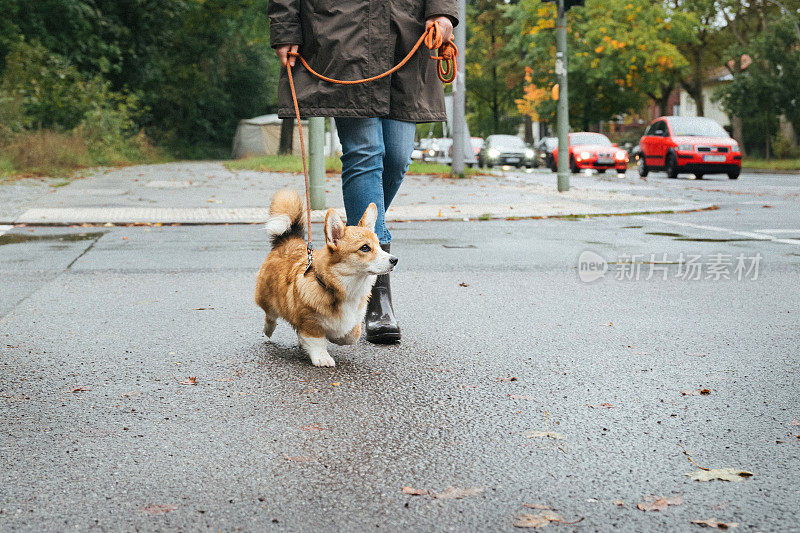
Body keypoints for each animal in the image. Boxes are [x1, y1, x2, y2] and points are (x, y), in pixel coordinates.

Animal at [255, 189, 398, 368]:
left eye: (379, 245)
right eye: (365, 248)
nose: (394, 260)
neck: (346, 287)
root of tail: (288, 239)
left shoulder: (353, 321)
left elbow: (351, 335)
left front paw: (337, 337)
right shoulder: (310, 321)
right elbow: (317, 340)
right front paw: (322, 357)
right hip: (267, 298)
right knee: (270, 315)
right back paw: (268, 329)